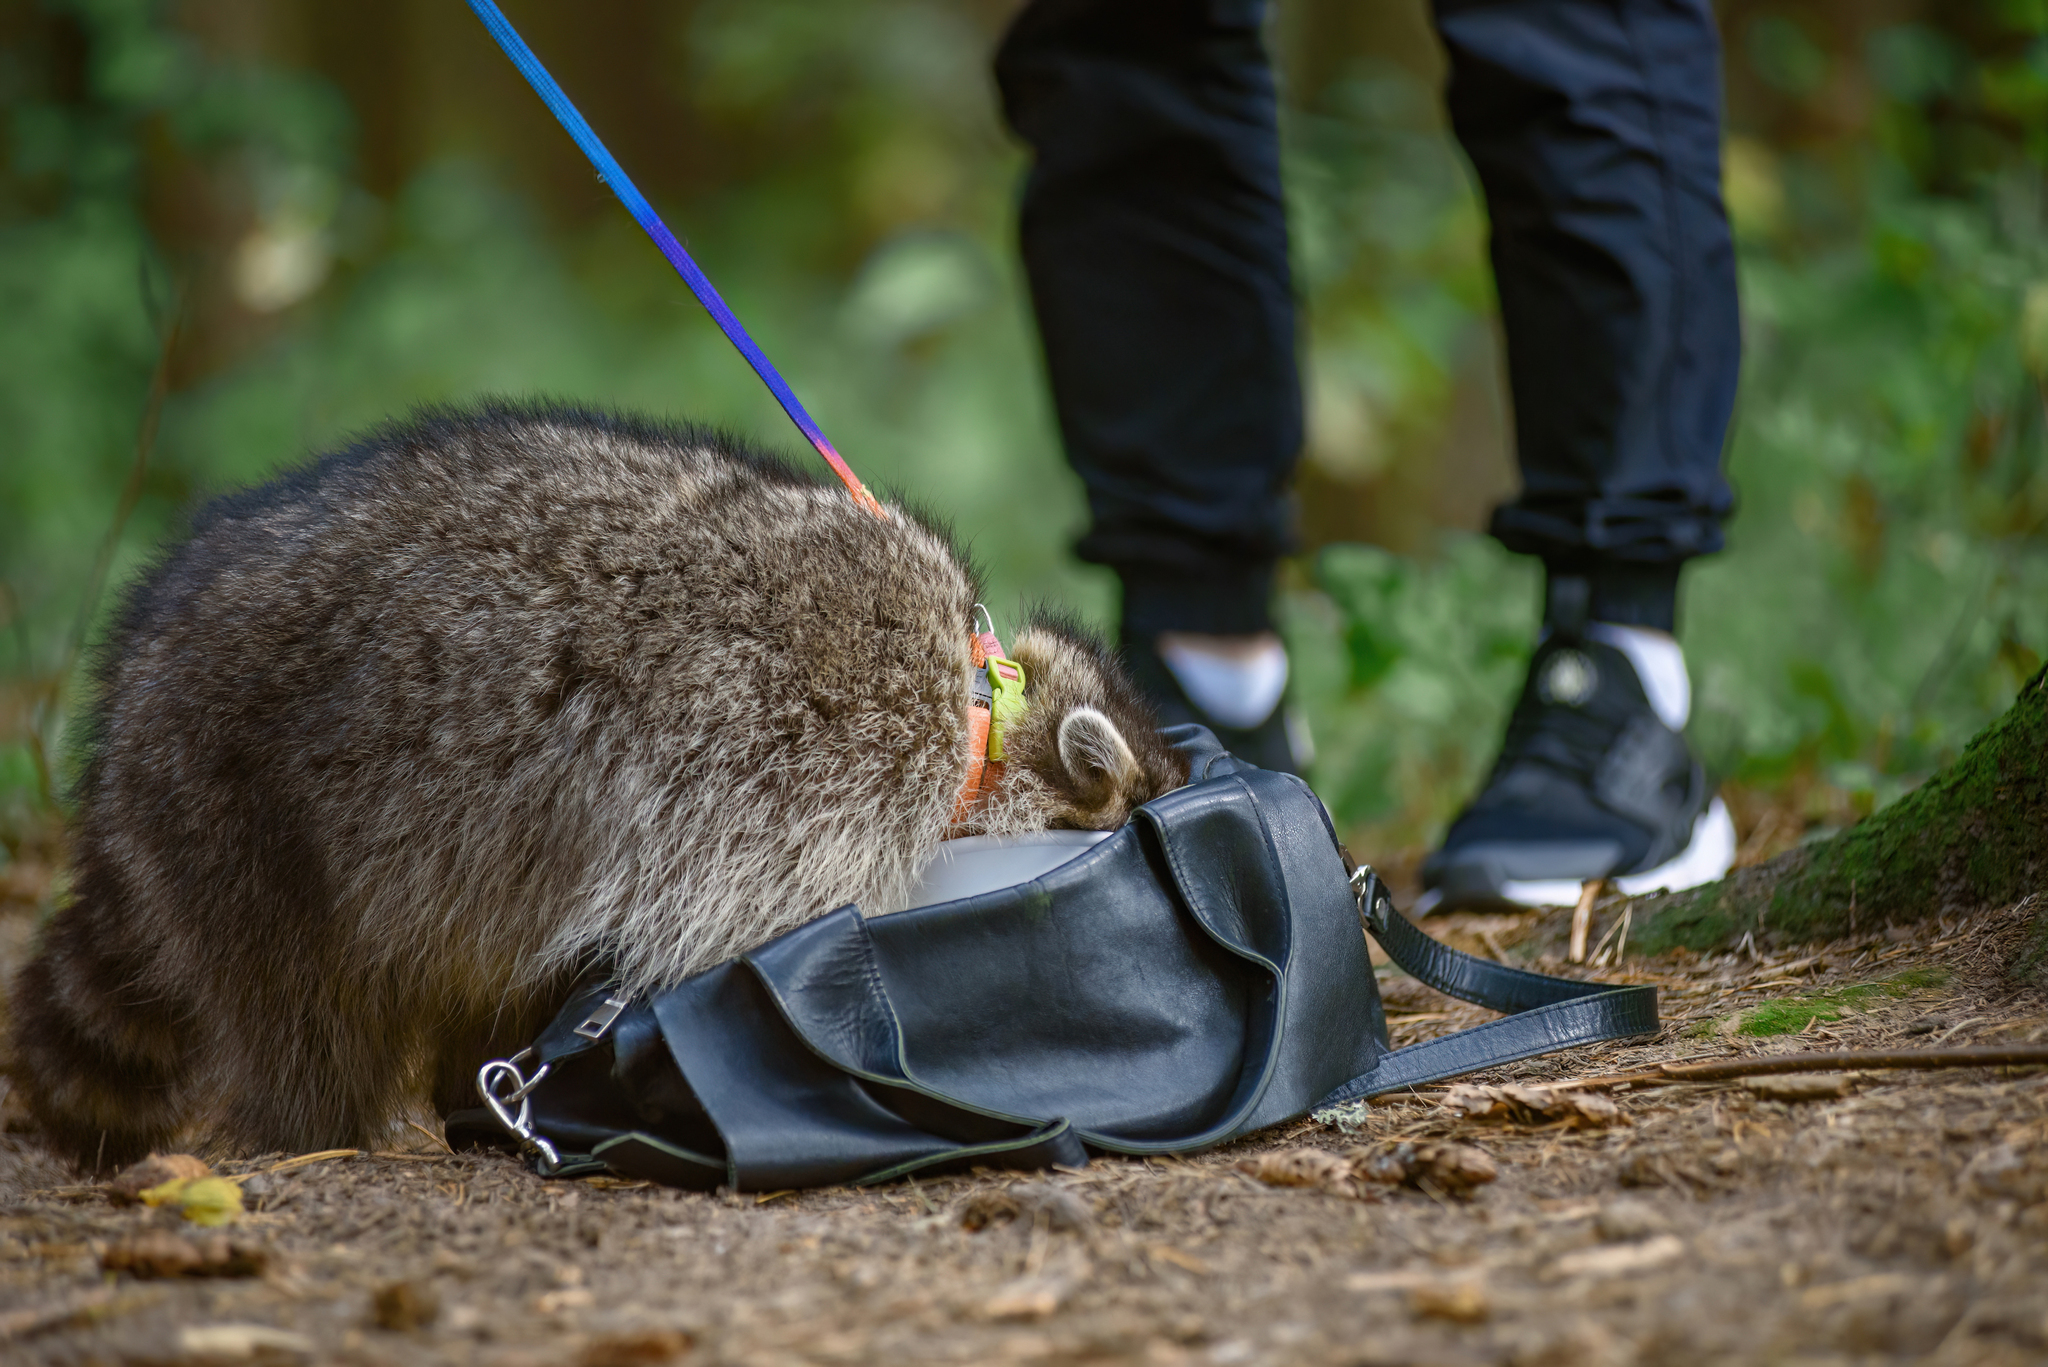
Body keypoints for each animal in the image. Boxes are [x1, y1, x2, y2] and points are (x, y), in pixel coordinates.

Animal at [8, 403, 1187, 1164]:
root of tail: (125, 710)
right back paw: (324, 1134)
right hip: (248, 816)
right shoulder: (790, 776)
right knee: (301, 1007)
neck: (984, 710)